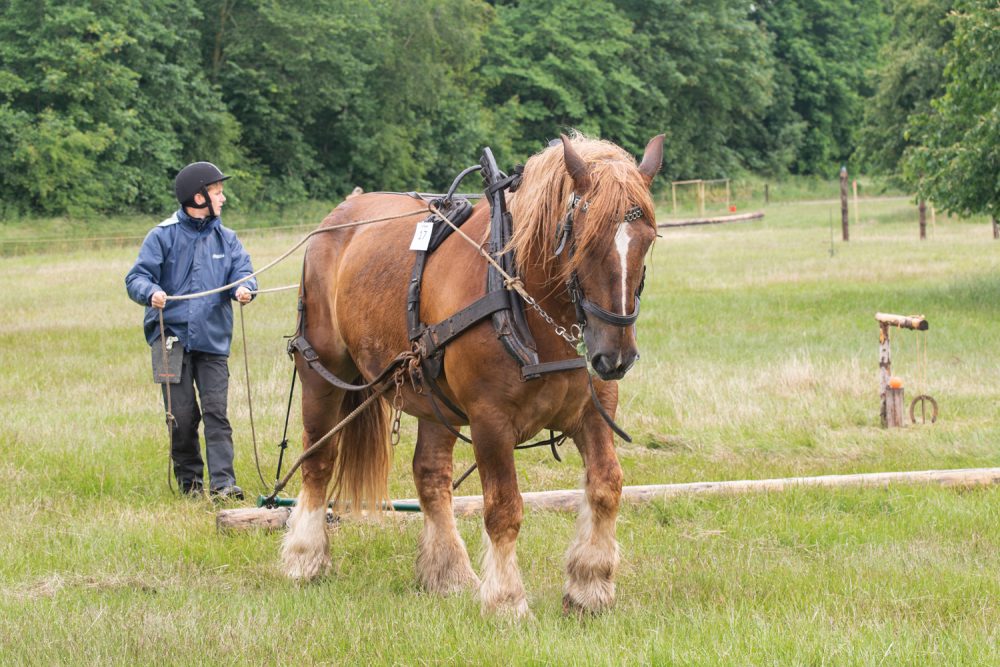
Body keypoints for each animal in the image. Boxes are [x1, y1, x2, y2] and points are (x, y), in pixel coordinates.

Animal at [281, 132, 663, 617]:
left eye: (648, 239)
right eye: (584, 239)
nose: (614, 357)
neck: (526, 303)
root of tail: (338, 216)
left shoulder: (594, 413)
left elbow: (606, 486)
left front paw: (589, 585)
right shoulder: (489, 420)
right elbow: (503, 508)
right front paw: (506, 600)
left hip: (432, 395)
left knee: (430, 475)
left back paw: (449, 573)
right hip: (323, 372)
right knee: (318, 459)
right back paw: (304, 557)